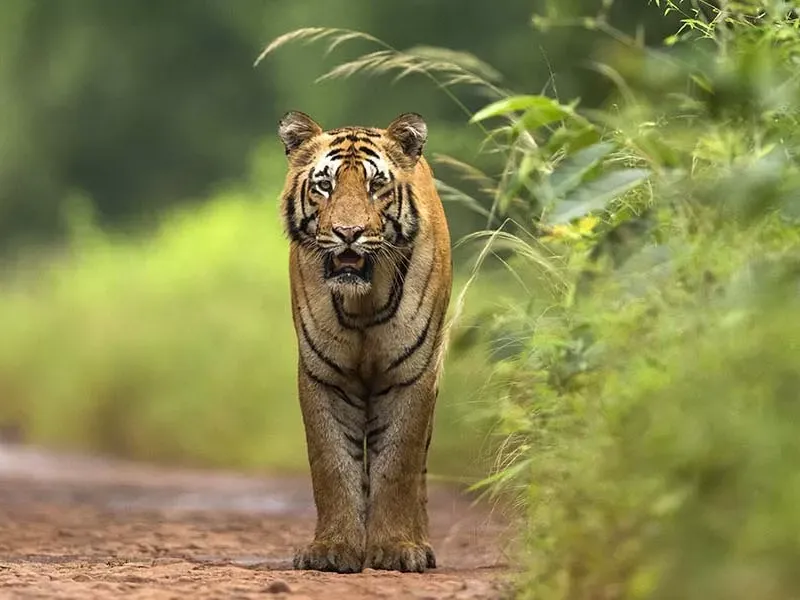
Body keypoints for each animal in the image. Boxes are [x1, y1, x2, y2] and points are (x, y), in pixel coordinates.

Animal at [277, 111, 453, 573]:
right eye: (324, 185)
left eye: (376, 185)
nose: (348, 232)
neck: (363, 302)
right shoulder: (325, 375)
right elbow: (333, 464)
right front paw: (332, 549)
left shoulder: (412, 373)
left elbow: (398, 465)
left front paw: (396, 549)